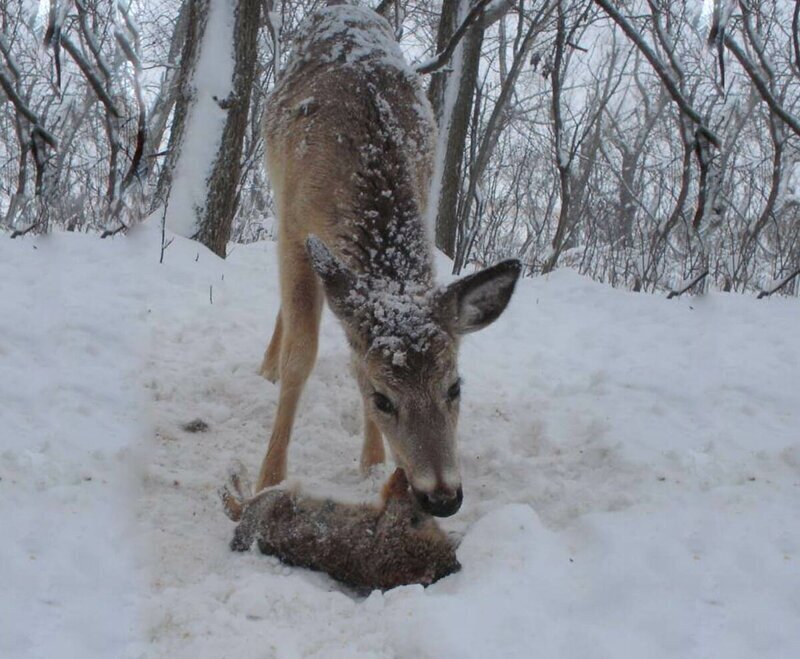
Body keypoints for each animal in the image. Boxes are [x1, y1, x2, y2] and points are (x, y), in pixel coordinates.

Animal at [253, 2, 520, 520]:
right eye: (383, 398)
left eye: (455, 387)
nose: (443, 498)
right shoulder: (296, 226)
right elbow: (302, 354)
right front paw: (268, 479)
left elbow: (353, 352)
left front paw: (373, 464)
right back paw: (266, 368)